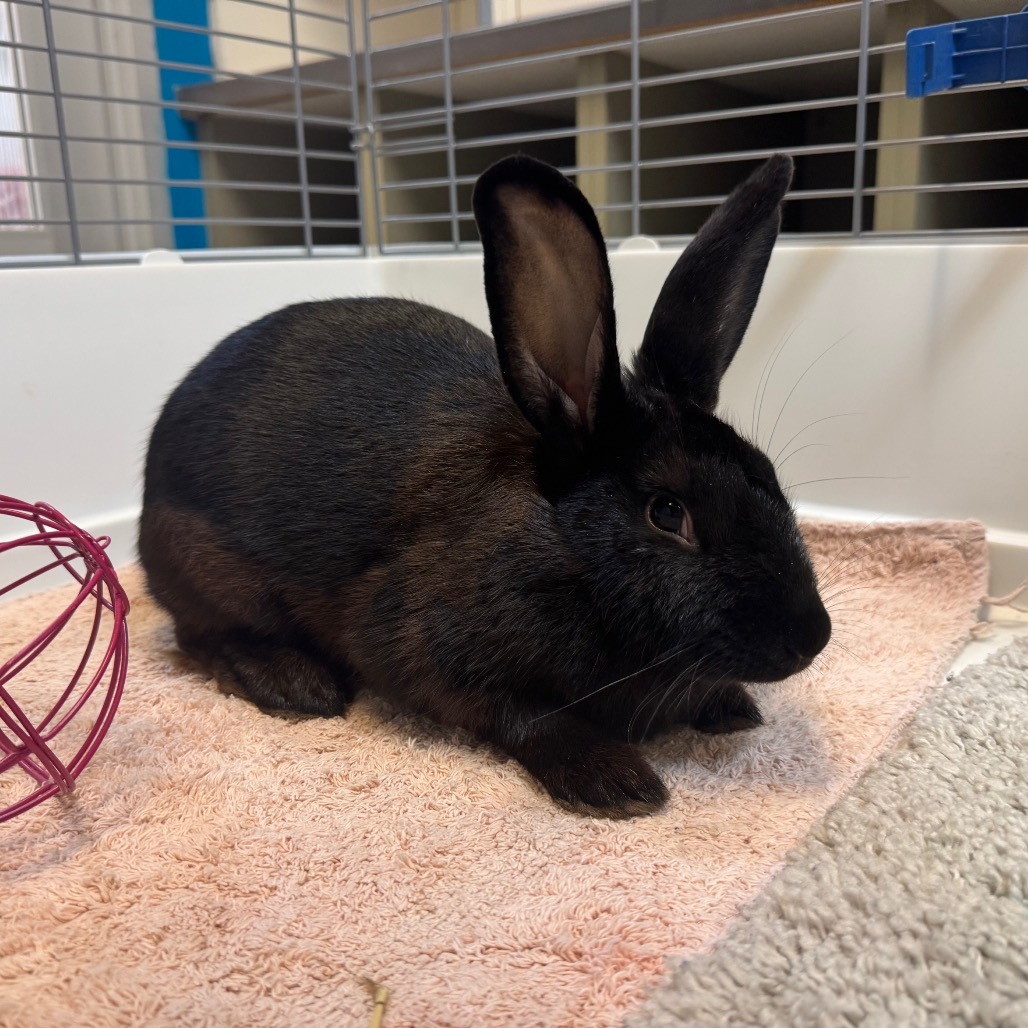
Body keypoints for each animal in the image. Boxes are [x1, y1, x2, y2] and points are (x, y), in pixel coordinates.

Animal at [139, 152, 831, 819]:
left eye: (767, 475)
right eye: (666, 512)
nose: (812, 638)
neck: (563, 548)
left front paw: (731, 707)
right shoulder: (431, 657)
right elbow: (525, 717)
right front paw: (616, 781)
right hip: (213, 575)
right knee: (198, 636)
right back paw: (293, 683)